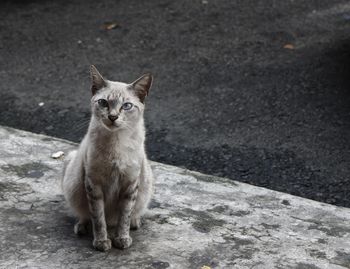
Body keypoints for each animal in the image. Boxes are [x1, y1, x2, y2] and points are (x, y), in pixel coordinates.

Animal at [61, 65, 154, 251]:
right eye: (103, 102)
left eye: (126, 106)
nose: (112, 117)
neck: (115, 143)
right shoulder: (94, 184)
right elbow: (98, 219)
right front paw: (102, 242)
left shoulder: (130, 184)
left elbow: (124, 217)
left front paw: (122, 239)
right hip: (73, 181)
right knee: (85, 215)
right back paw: (81, 226)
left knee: (132, 214)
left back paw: (135, 223)